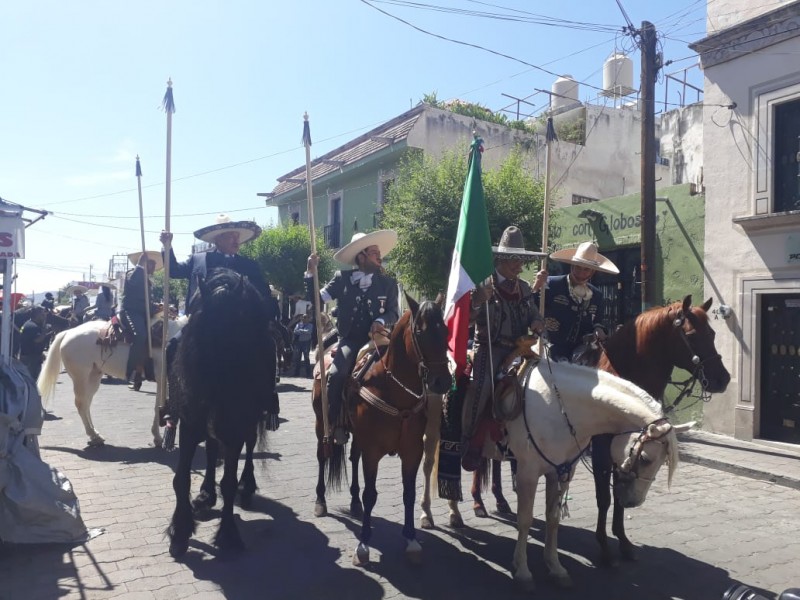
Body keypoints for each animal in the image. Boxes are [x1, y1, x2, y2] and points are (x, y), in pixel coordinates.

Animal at [36, 316, 187, 448]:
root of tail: (68, 332)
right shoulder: (163, 379)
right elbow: (159, 407)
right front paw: (158, 438)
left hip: (94, 376)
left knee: (86, 403)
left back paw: (95, 435)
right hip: (80, 378)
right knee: (81, 403)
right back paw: (93, 435)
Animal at [167, 268, 276, 556]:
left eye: (237, 328)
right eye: (198, 327)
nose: (209, 396)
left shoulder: (235, 427)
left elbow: (228, 482)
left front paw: (228, 536)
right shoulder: (190, 424)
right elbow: (181, 478)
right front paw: (180, 530)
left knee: (249, 446)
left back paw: (246, 486)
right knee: (212, 449)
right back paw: (206, 494)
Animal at [310, 298, 454, 564]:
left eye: (446, 331)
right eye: (420, 332)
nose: (442, 382)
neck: (395, 391)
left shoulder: (412, 451)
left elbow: (408, 493)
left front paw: (411, 539)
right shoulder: (373, 451)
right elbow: (371, 494)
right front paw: (363, 544)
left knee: (353, 457)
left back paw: (354, 502)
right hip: (320, 424)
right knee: (323, 456)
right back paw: (321, 501)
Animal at [592, 292, 728, 564]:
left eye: (712, 334)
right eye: (693, 336)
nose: (723, 379)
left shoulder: (627, 446)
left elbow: (619, 493)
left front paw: (622, 540)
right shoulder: (600, 448)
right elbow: (604, 497)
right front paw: (603, 545)